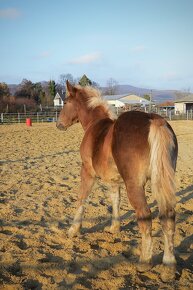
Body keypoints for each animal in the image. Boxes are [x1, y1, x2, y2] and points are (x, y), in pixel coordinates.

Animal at [57, 80, 178, 280]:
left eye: (65, 102)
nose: (59, 124)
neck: (94, 125)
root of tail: (154, 120)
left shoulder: (87, 171)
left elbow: (82, 198)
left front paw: (73, 230)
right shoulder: (114, 180)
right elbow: (115, 200)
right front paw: (114, 227)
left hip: (135, 186)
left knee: (145, 217)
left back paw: (144, 261)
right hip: (162, 182)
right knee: (167, 216)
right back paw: (168, 265)